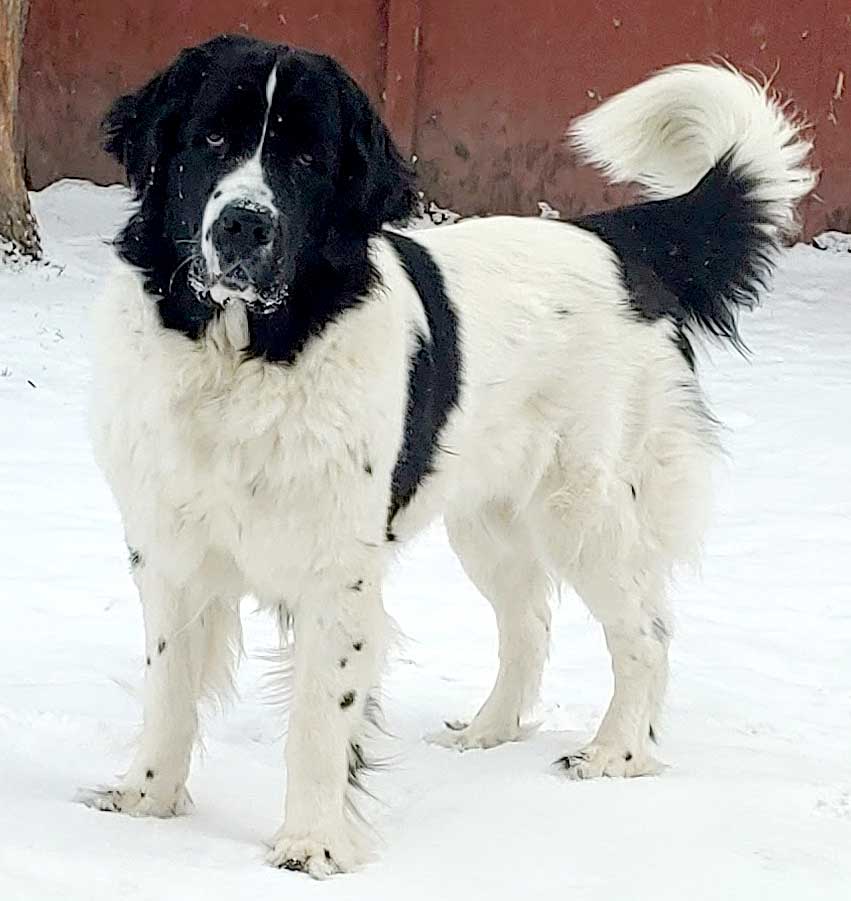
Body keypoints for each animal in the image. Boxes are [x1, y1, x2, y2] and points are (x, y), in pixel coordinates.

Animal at [81, 34, 816, 876]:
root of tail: (616, 241)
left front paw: (312, 842)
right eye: (209, 139)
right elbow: (167, 686)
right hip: (490, 518)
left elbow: (320, 714)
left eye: (305, 159)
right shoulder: (169, 548)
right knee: (528, 623)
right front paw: (145, 800)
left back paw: (613, 754)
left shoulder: (337, 568)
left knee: (644, 629)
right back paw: (488, 731)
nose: (243, 225)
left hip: (583, 507)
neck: (245, 356)